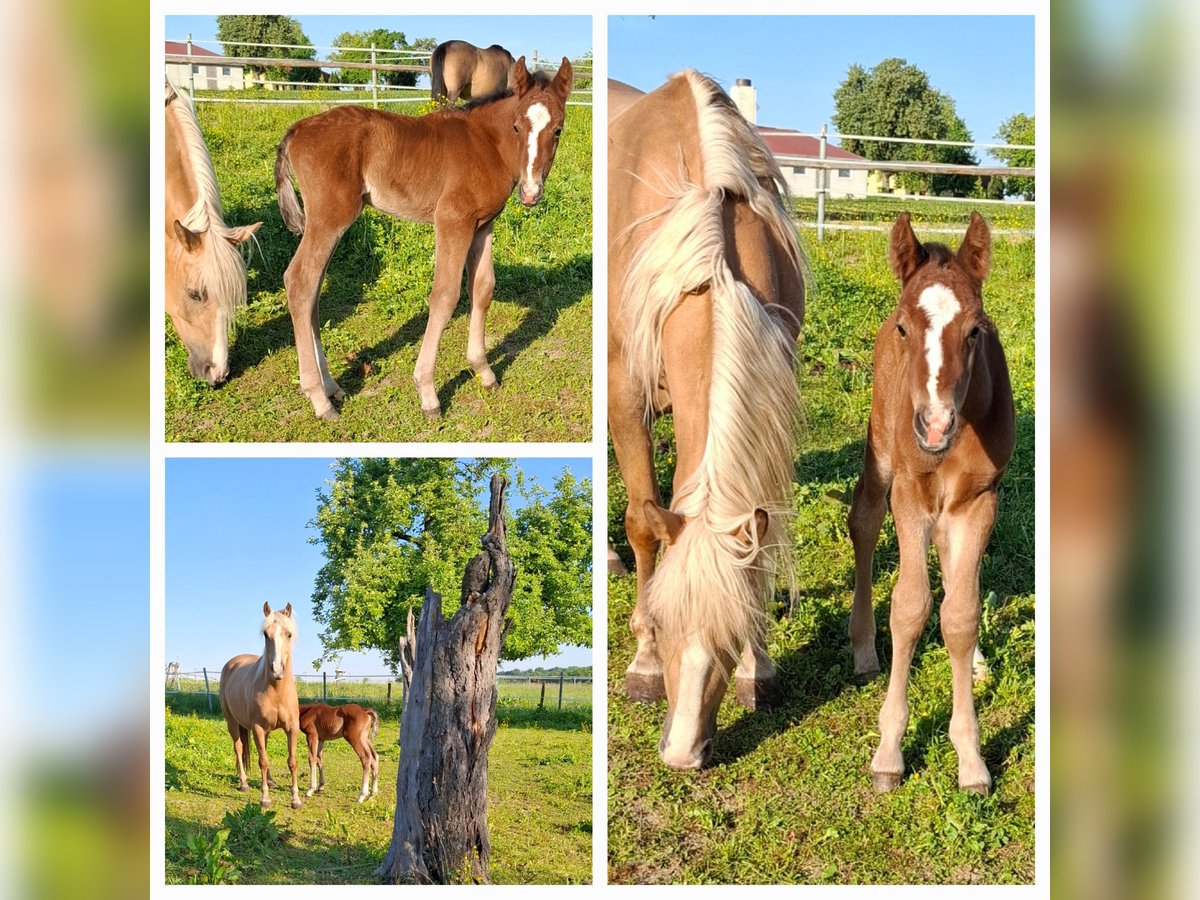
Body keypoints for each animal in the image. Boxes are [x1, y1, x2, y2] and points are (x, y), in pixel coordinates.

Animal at [218, 602, 303, 809]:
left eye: (289, 634)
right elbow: (263, 761)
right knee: (239, 748)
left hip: (265, 730)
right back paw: (244, 783)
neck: (277, 691)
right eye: (266, 634)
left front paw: (295, 799)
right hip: (232, 722)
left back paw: (271, 781)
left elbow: (292, 761)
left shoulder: (292, 728)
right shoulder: (257, 728)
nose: (277, 670)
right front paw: (265, 798)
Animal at [274, 57, 574, 420]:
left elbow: (483, 289)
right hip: (330, 216)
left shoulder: (483, 225)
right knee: (300, 282)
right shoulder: (452, 221)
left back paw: (331, 387)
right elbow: (444, 296)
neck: (485, 143)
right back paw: (319, 398)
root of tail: (297, 129)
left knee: (313, 290)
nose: (530, 194)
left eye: (557, 130)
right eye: (516, 127)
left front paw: (483, 371)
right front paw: (427, 392)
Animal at [608, 73, 806, 770]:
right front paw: (642, 663)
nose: (682, 754)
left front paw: (758, 669)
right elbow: (644, 522)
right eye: (667, 626)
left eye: (729, 636)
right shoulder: (623, 394)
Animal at [848, 212, 1014, 794]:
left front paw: (971, 756)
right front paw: (888, 753)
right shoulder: (910, 496)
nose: (935, 426)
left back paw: (980, 662)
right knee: (863, 519)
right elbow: (909, 607)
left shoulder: (979, 501)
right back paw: (863, 649)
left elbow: (959, 613)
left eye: (976, 330)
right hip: (881, 454)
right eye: (905, 328)